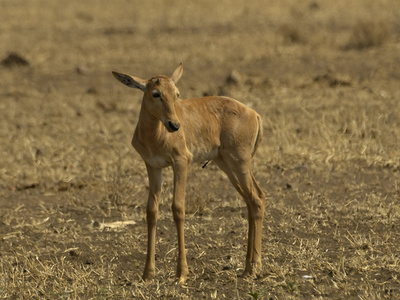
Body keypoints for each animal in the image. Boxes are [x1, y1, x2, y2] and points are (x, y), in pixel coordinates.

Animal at [111, 64, 266, 282]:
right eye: (156, 93)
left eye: (177, 93)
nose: (174, 125)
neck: (156, 134)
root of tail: (254, 114)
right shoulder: (153, 167)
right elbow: (152, 211)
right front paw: (148, 273)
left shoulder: (181, 162)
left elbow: (178, 208)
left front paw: (181, 273)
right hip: (226, 164)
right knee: (252, 199)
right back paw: (247, 267)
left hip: (239, 163)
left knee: (257, 199)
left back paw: (255, 267)